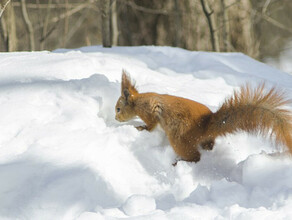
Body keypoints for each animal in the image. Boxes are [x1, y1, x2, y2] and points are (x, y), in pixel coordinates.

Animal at [114, 70, 292, 162]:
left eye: (118, 109)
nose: (116, 118)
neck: (138, 102)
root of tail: (206, 126)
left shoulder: (150, 108)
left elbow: (151, 124)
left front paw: (142, 128)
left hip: (179, 138)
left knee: (195, 156)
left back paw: (181, 161)